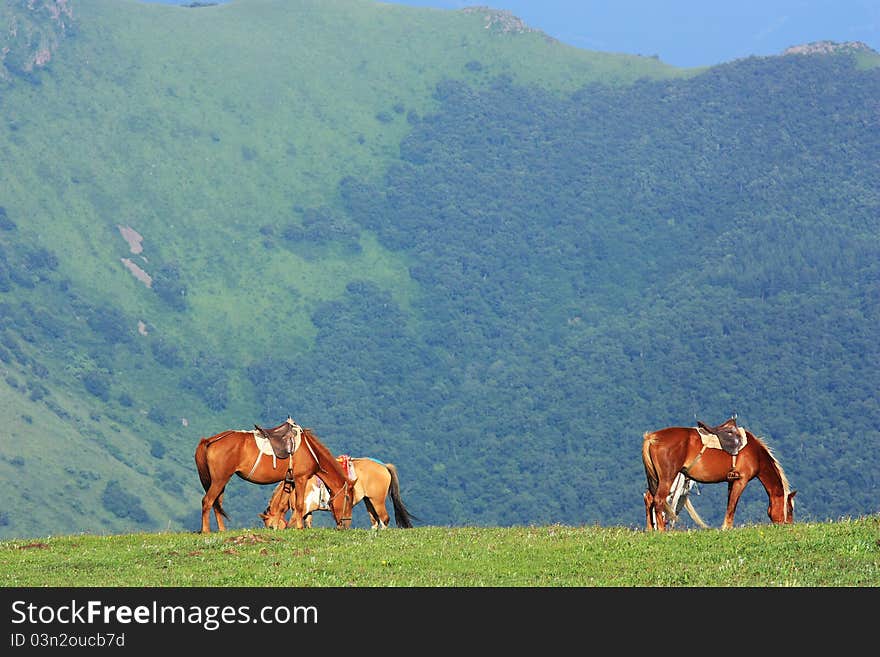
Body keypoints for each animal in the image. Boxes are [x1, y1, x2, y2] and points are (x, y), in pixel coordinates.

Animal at [194, 420, 356, 532]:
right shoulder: (301, 479)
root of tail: (209, 440)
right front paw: (299, 527)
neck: (311, 451)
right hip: (220, 480)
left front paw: (277, 526)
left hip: (220, 481)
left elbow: (282, 505)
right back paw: (206, 531)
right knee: (207, 501)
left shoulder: (289, 480)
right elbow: (299, 504)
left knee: (217, 504)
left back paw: (222, 530)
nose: (346, 524)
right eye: (348, 498)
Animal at [258, 458, 416, 532]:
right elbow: (307, 522)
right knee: (375, 519)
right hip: (368, 500)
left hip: (377, 500)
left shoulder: (301, 508)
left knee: (384, 518)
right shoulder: (308, 509)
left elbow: (293, 522)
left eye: (269, 526)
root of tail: (384, 466)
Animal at [640, 418, 796, 532]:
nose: (788, 525)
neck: (755, 453)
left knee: (649, 498)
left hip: (655, 479)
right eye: (789, 509)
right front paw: (727, 528)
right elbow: (732, 505)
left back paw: (650, 530)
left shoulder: (731, 480)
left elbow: (729, 504)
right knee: (658, 500)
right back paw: (661, 531)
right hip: (667, 478)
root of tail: (652, 437)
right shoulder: (741, 480)